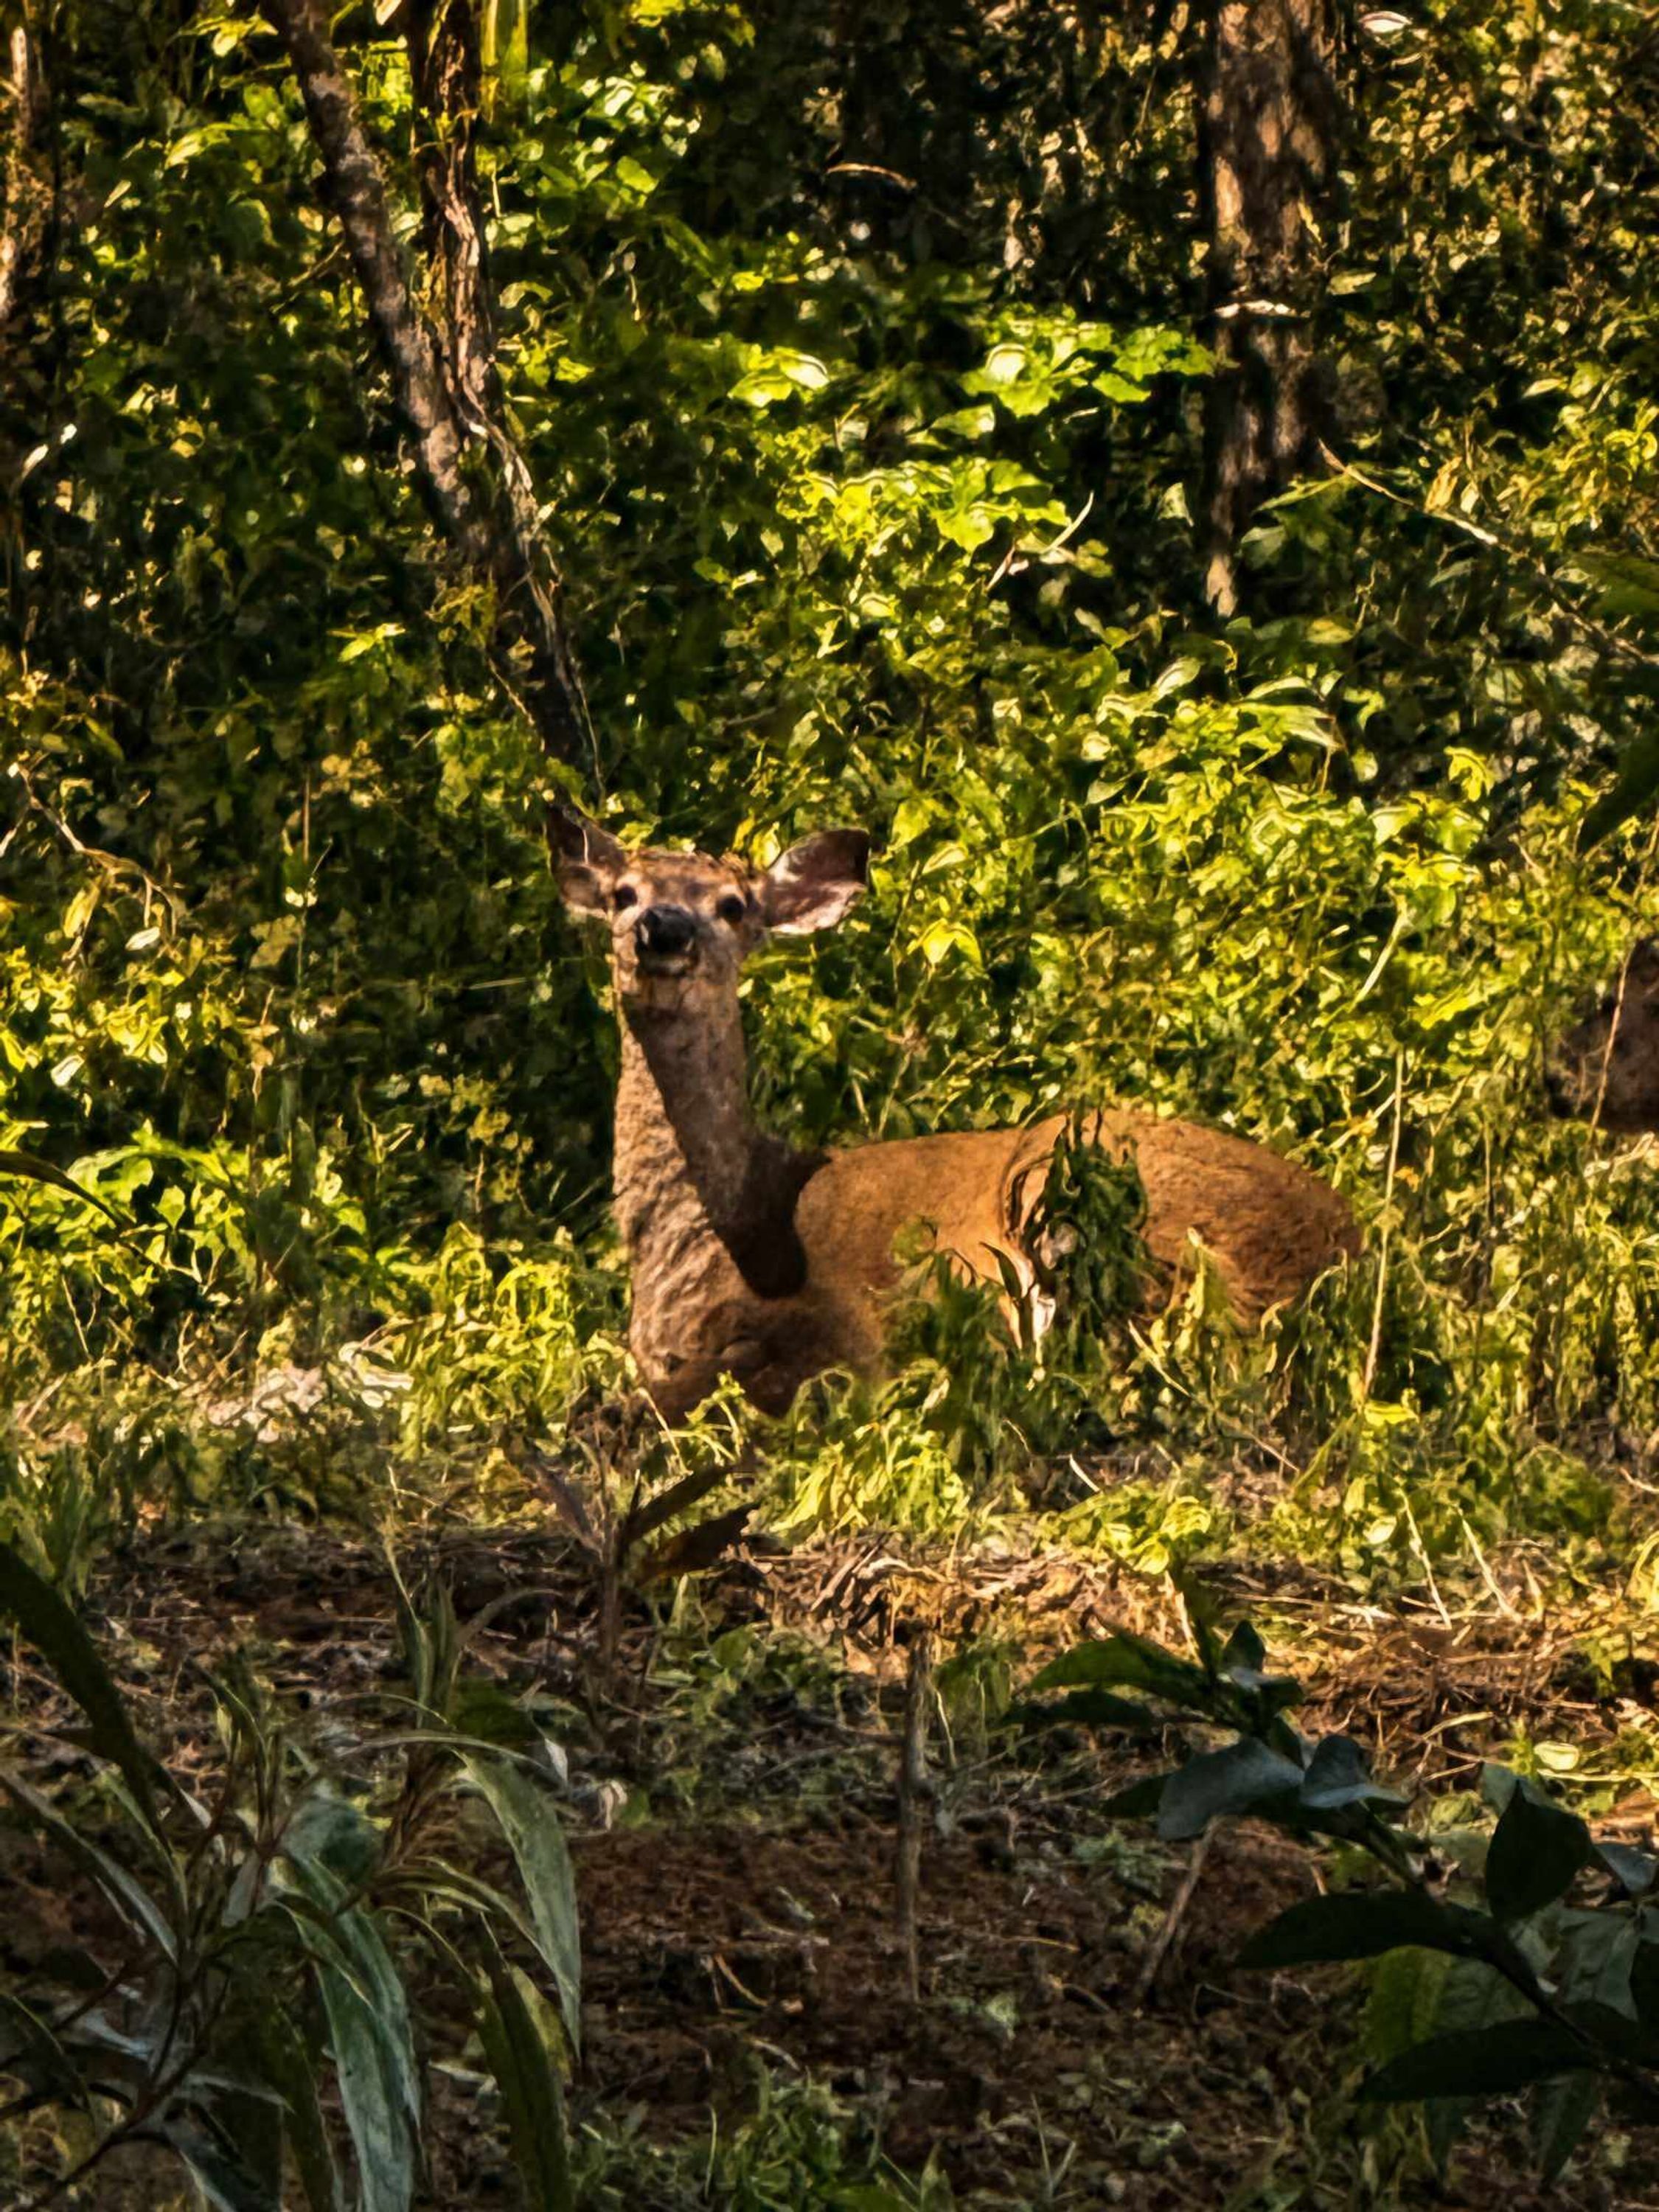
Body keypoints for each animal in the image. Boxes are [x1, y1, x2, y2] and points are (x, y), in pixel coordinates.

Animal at [549, 806, 1362, 1420]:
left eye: (733, 906)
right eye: (623, 892)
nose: (664, 929)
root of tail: (1350, 1253)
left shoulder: (840, 1321)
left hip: (1075, 1178)